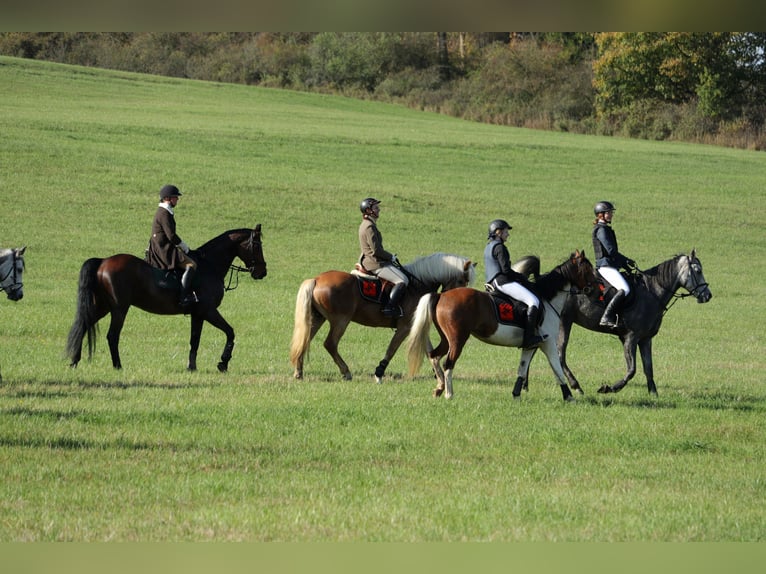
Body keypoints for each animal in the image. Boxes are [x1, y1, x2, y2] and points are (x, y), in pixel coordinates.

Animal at [67, 226, 270, 374]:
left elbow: (194, 340)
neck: (209, 266)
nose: (262, 272)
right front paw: (223, 363)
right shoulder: (209, 311)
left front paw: (191, 367)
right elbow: (230, 332)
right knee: (112, 335)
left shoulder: (198, 315)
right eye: (257, 245)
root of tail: (103, 261)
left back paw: (74, 362)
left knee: (84, 325)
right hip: (119, 309)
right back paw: (117, 366)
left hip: (103, 306)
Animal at [292, 254, 476, 384]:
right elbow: (391, 349)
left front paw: (438, 374)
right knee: (330, 344)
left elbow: (429, 350)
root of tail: (316, 279)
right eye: (462, 280)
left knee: (305, 340)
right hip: (340, 321)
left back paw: (299, 372)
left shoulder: (417, 325)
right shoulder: (405, 328)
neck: (417, 285)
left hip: (318, 319)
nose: (459, 298)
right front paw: (379, 373)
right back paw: (346, 372)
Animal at [408, 250, 592, 402]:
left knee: (434, 356)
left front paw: (516, 395)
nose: (594, 289)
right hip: (458, 339)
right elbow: (557, 369)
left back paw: (439, 388)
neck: (547, 299)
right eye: (589, 270)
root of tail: (441, 295)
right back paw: (449, 394)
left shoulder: (531, 345)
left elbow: (522, 369)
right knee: (448, 363)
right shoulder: (548, 343)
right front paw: (569, 396)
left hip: (446, 339)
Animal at [524, 250, 712, 398]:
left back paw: (525, 384)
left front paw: (653, 394)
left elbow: (648, 367)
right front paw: (609, 388)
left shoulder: (646, 339)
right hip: (564, 323)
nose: (708, 295)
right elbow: (632, 369)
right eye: (697, 270)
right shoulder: (631, 338)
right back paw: (576, 386)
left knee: (535, 348)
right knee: (559, 353)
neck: (652, 292)